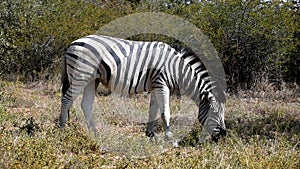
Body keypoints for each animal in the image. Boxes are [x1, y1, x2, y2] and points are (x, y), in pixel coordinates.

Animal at [59, 35, 226, 143]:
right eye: (215, 113)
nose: (223, 136)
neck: (178, 70)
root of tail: (72, 43)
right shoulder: (161, 84)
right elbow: (165, 112)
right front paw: (170, 138)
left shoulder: (155, 85)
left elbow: (153, 110)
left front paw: (150, 134)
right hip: (81, 75)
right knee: (66, 99)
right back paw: (62, 128)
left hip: (92, 79)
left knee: (85, 104)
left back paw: (95, 133)